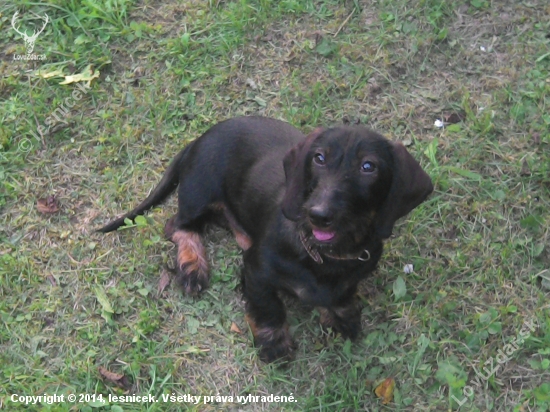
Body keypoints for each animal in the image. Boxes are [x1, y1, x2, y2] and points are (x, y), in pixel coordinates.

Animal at [98, 116, 433, 362]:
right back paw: (192, 266)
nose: (318, 214)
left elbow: (343, 294)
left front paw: (342, 316)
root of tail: (197, 140)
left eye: (368, 167)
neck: (323, 253)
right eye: (319, 158)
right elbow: (267, 306)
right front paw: (273, 342)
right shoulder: (257, 269)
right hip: (197, 194)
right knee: (177, 226)